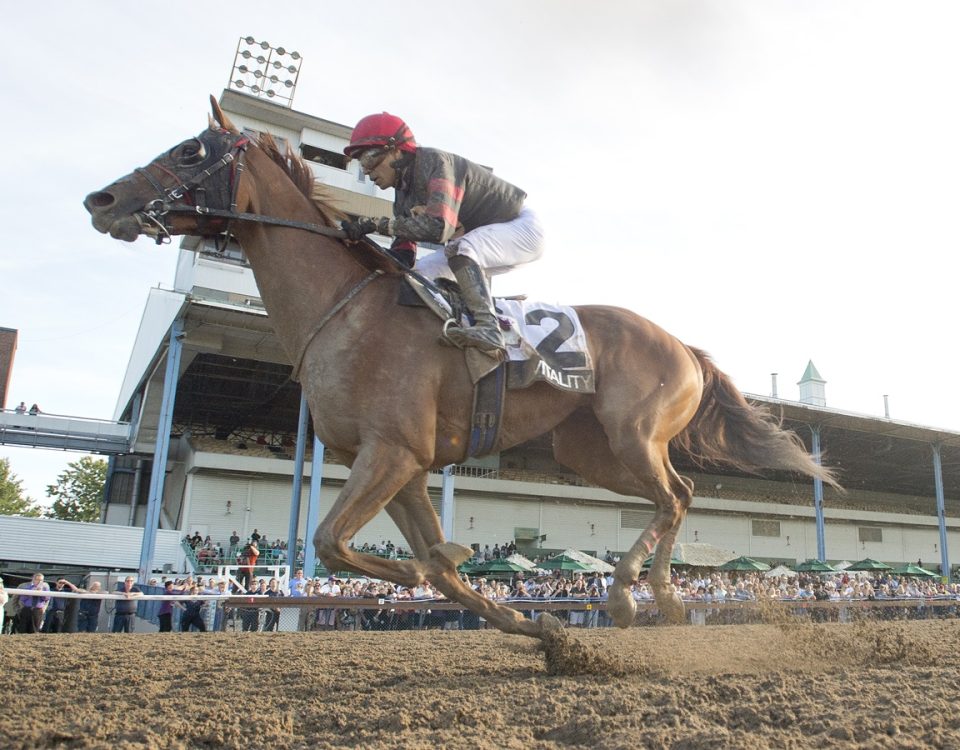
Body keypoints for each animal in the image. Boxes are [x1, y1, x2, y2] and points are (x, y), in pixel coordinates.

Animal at [84, 98, 840, 640]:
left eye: (189, 150)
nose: (102, 201)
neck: (344, 310)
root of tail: (684, 346)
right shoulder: (403, 465)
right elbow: (418, 568)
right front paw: (524, 622)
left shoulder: (391, 453)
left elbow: (334, 544)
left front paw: (435, 565)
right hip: (588, 450)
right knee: (672, 494)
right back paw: (646, 595)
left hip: (633, 433)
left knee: (676, 494)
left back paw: (636, 595)